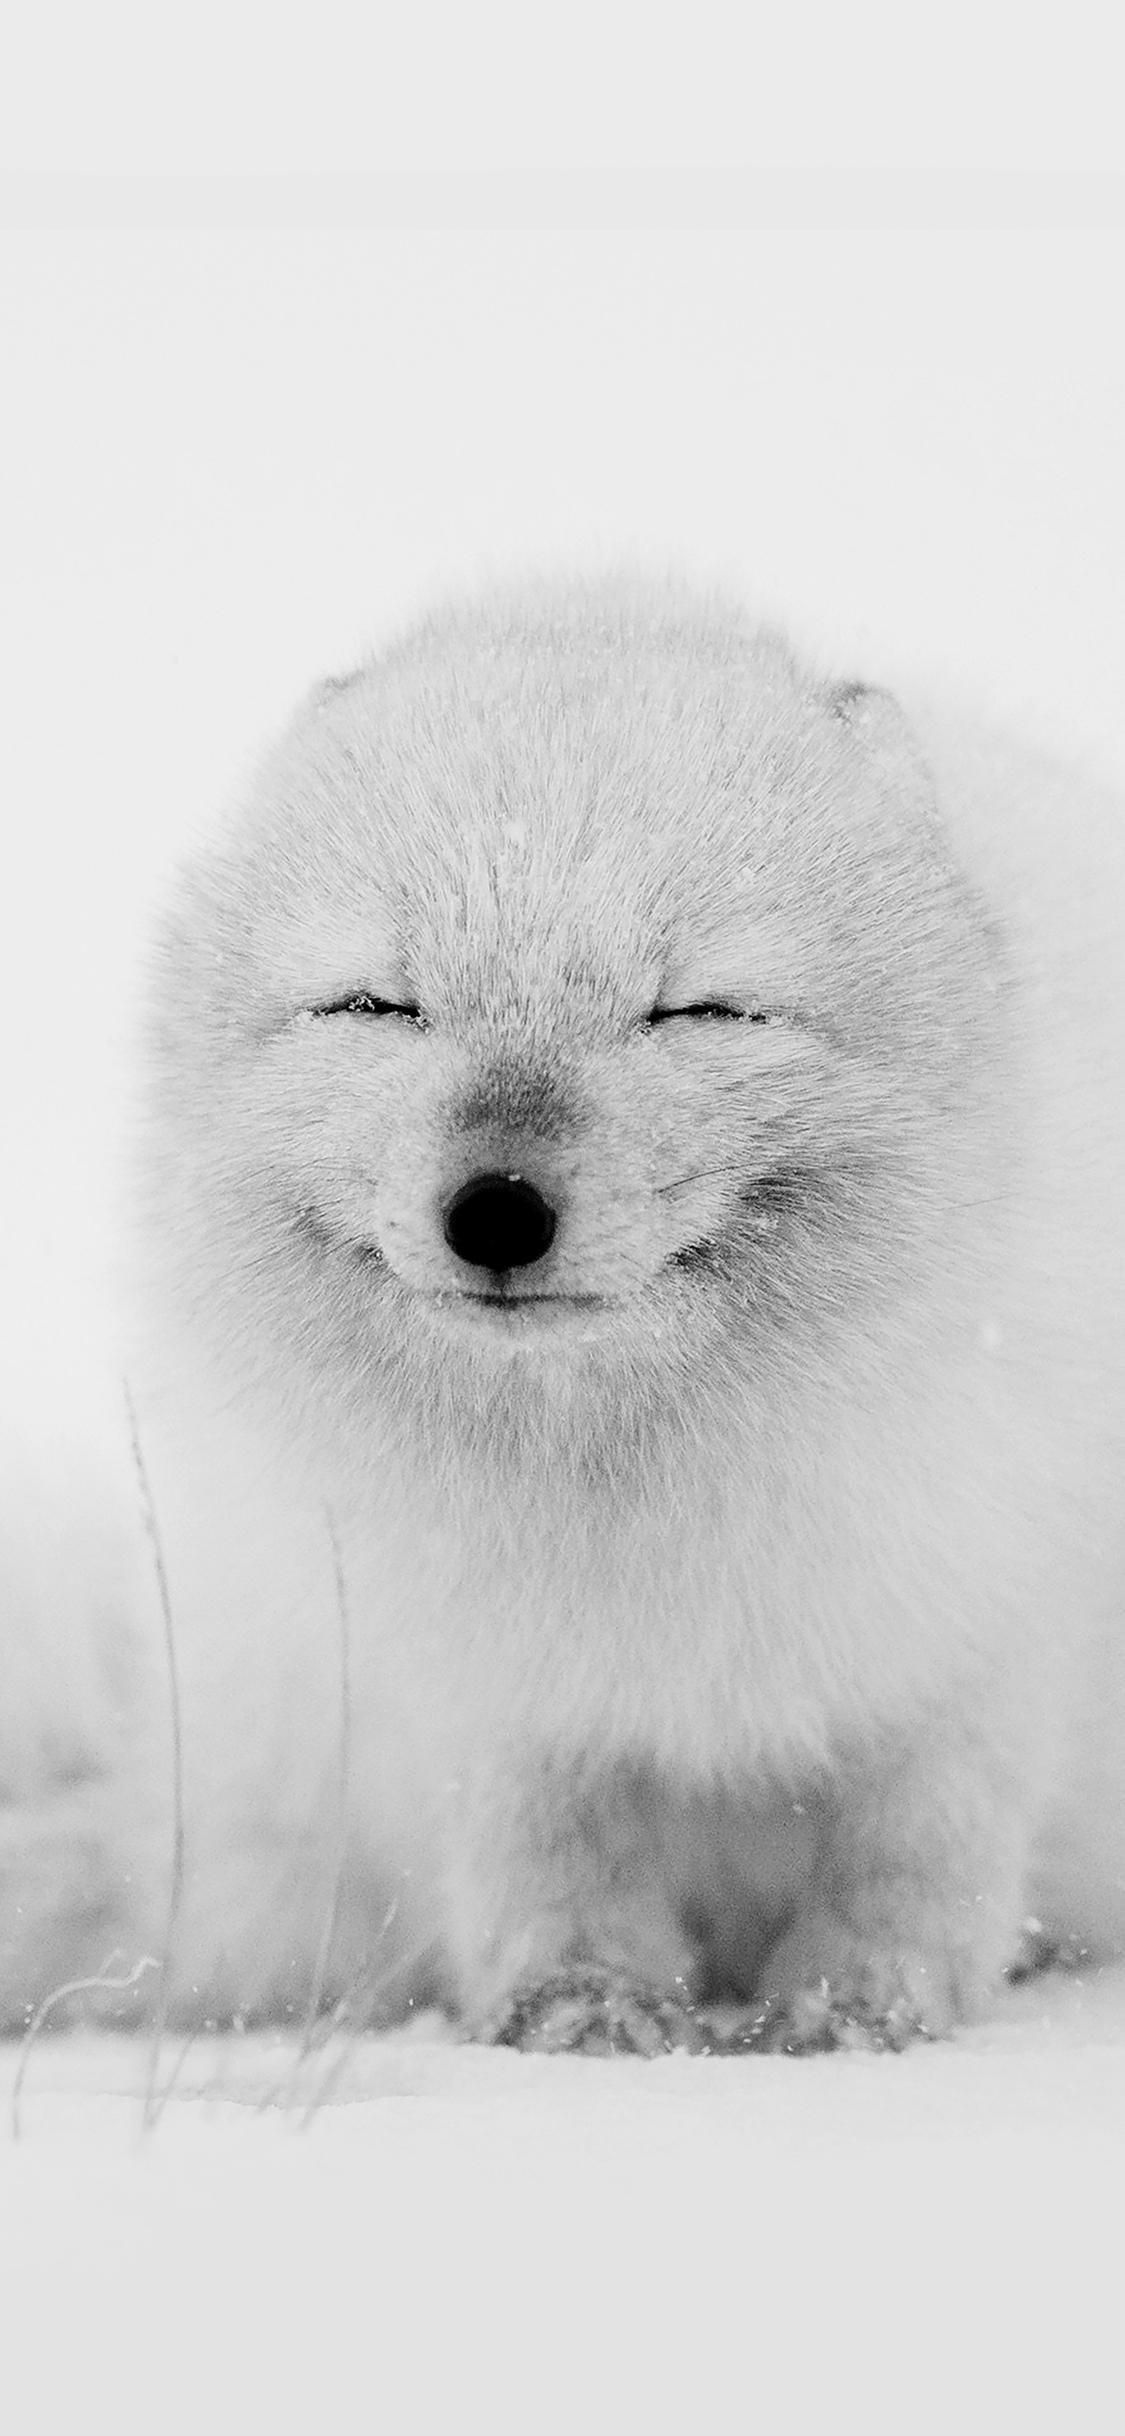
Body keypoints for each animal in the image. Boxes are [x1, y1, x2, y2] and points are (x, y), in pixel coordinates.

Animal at [6, 574, 1125, 2055]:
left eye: (699, 1010)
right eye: (379, 1004)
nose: (494, 1213)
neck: (620, 1488)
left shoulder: (985, 1626)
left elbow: (917, 1851)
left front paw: (855, 2013)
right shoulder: (482, 1683)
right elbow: (548, 1856)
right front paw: (581, 2014)